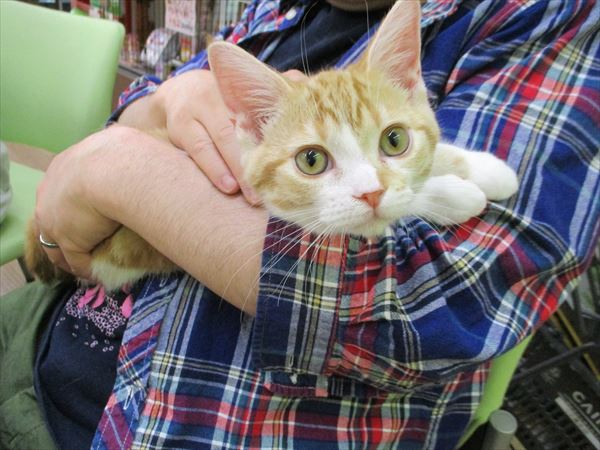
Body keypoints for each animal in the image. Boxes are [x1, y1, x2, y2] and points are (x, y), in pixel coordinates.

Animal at [25, 0, 517, 291]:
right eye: (311, 161)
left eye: (394, 140)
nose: (372, 192)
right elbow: (366, 217)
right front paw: (452, 194)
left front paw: (485, 169)